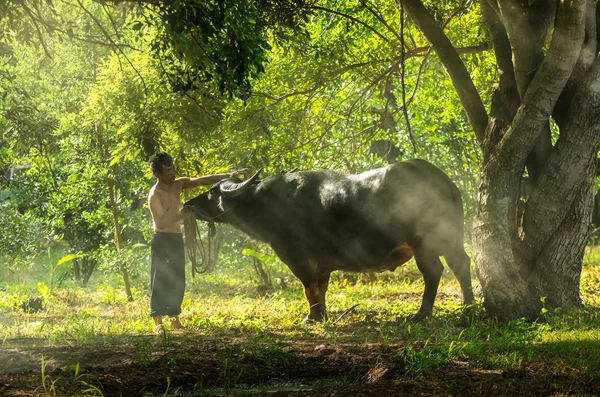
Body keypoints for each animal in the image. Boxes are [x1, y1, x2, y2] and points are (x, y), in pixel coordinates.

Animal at [185, 159, 476, 320]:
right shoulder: (323, 263)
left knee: (433, 271)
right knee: (461, 264)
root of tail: (443, 180)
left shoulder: (297, 257)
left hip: (424, 242)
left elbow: (308, 287)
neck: (270, 204)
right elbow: (321, 287)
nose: (188, 204)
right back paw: (469, 306)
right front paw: (322, 314)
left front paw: (312, 317)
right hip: (450, 237)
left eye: (212, 191)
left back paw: (422, 314)